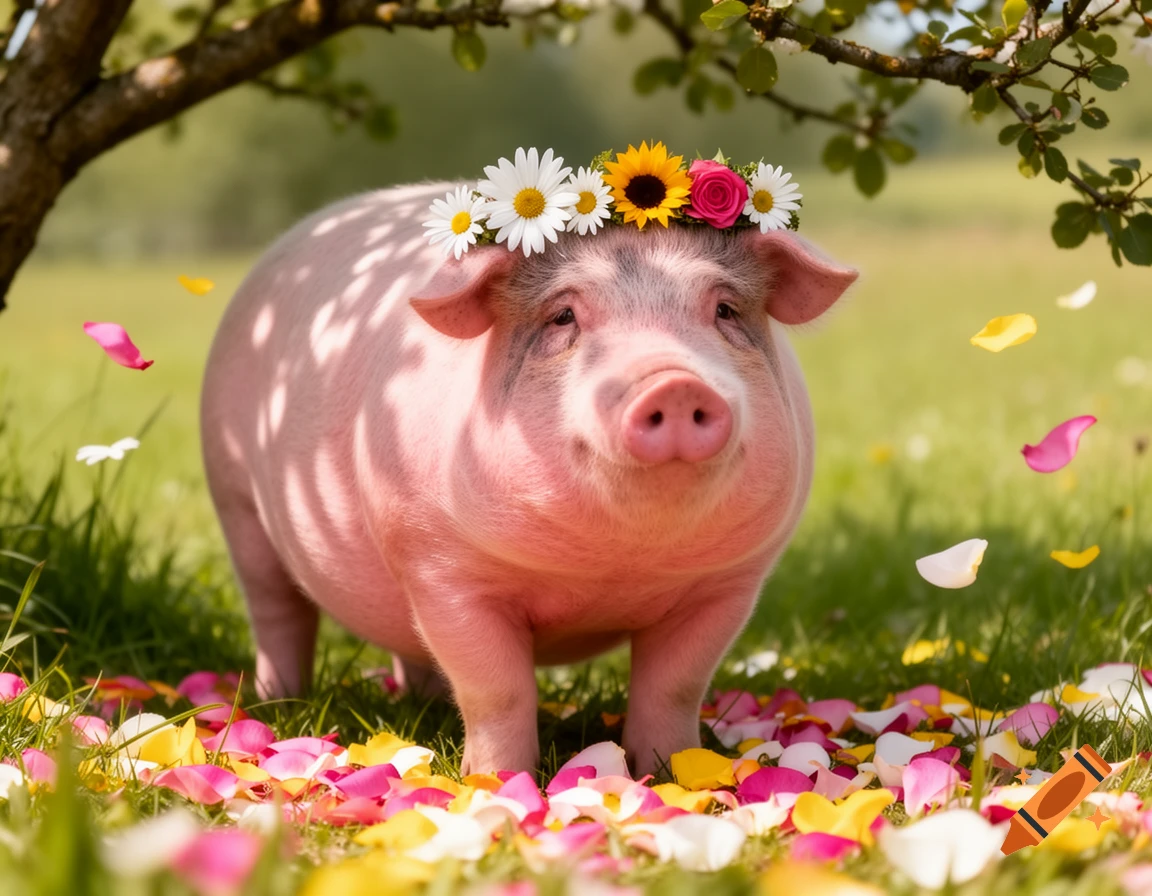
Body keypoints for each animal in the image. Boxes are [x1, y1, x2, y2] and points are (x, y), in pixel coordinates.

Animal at [200, 181, 857, 776]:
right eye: (564, 315)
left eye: (723, 310)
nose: (673, 382)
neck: (614, 567)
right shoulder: (440, 569)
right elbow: (497, 689)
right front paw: (495, 783)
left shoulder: (729, 582)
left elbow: (676, 685)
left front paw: (672, 773)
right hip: (234, 498)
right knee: (278, 610)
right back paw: (276, 705)